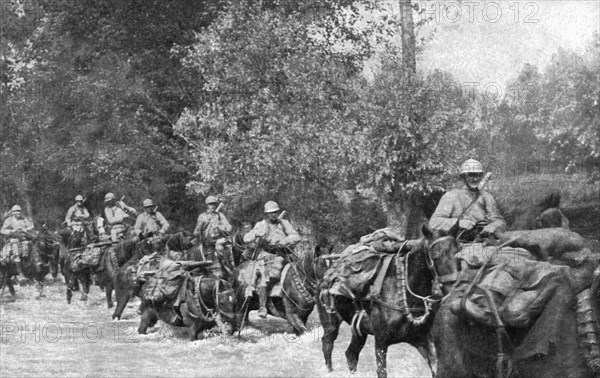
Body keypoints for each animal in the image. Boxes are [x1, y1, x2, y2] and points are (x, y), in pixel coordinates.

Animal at [316, 224, 458, 378]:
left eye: (457, 253)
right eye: (435, 255)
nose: (453, 287)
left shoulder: (421, 339)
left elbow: (435, 367)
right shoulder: (381, 341)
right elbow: (382, 371)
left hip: (359, 331)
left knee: (351, 354)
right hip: (331, 323)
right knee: (327, 344)